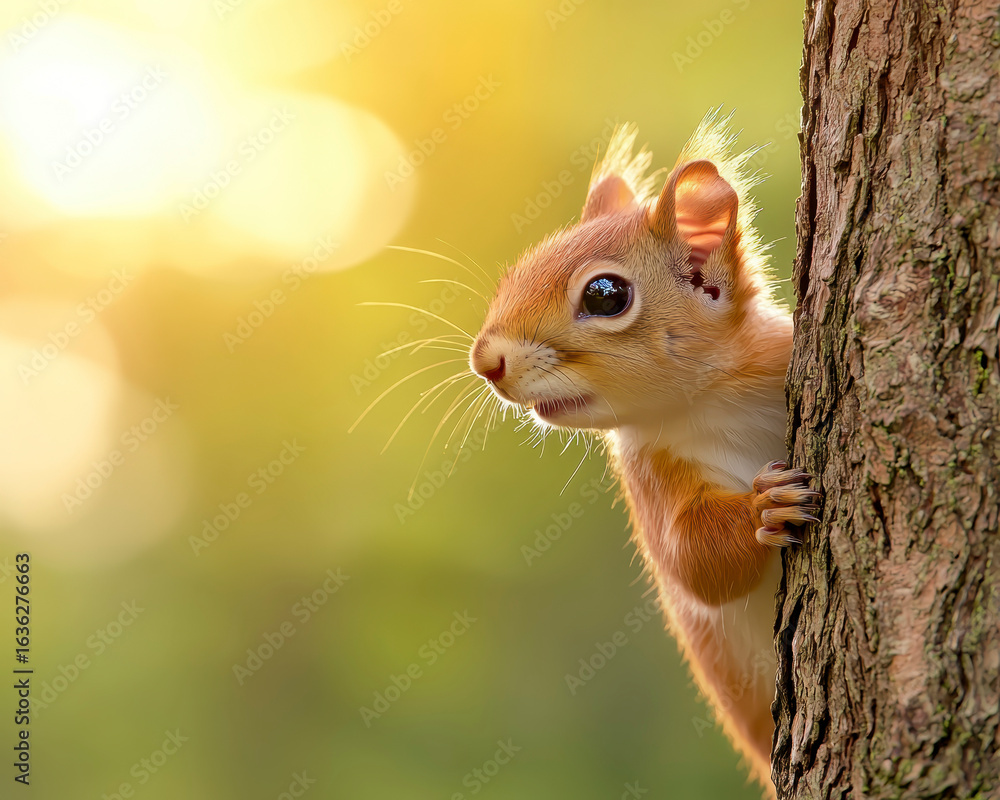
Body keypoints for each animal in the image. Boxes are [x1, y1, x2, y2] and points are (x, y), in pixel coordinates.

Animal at [468, 114, 820, 795]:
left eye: (606, 295)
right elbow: (694, 560)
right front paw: (763, 510)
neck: (713, 399)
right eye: (514, 273)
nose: (484, 361)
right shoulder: (651, 475)